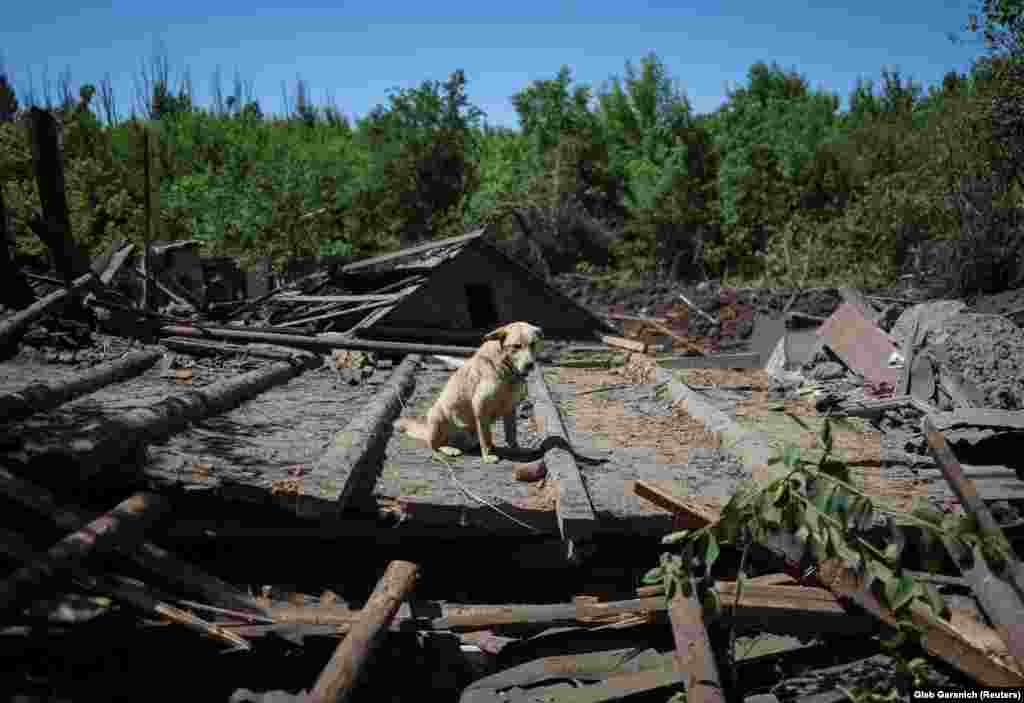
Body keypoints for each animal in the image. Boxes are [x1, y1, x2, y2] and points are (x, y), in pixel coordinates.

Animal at [393, 321, 544, 464]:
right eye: (516, 346)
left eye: (533, 344)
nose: (530, 365)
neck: (505, 367)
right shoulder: (480, 406)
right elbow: (486, 437)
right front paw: (487, 456)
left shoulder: (510, 408)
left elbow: (511, 434)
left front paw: (516, 449)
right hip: (437, 415)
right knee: (435, 445)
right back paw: (448, 450)